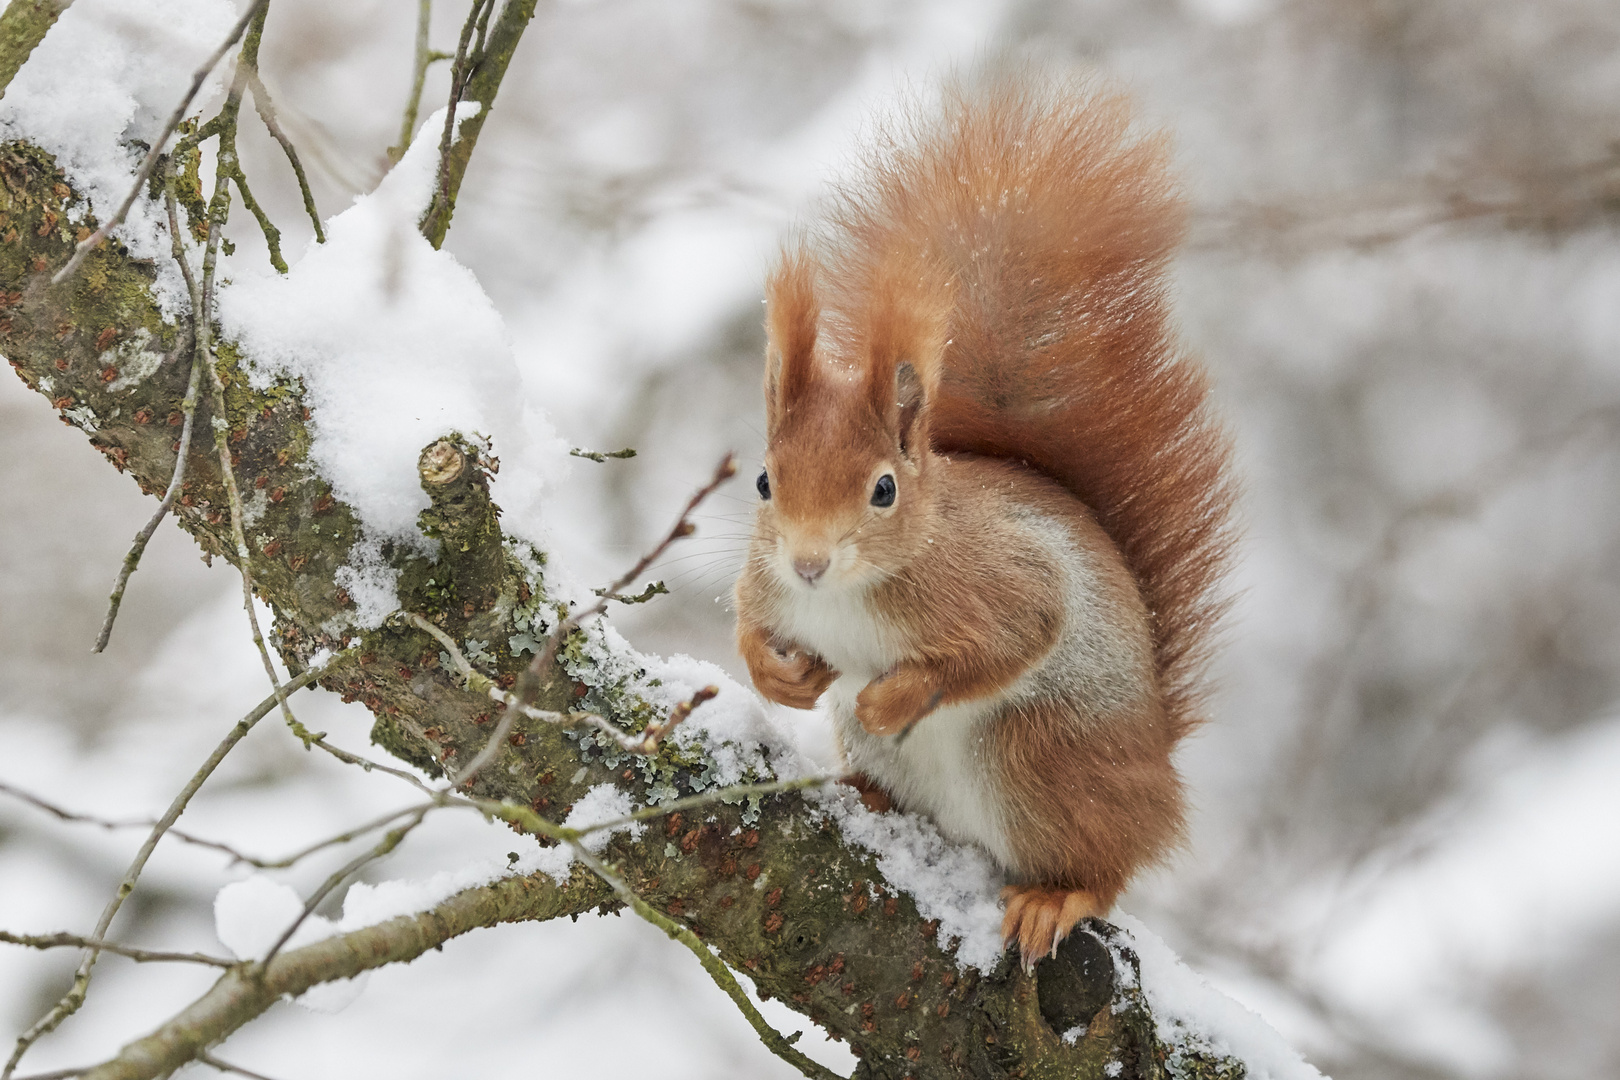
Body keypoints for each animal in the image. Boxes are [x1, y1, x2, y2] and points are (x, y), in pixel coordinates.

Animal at [738, 78, 1237, 971]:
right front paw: (777, 675)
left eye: (884, 491)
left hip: (1041, 753)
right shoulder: (765, 583)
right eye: (765, 480)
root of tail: (1157, 773)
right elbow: (745, 625)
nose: (808, 564)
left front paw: (891, 697)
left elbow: (1013, 636)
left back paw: (1057, 896)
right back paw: (864, 792)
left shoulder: (1003, 580)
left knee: (1106, 868)